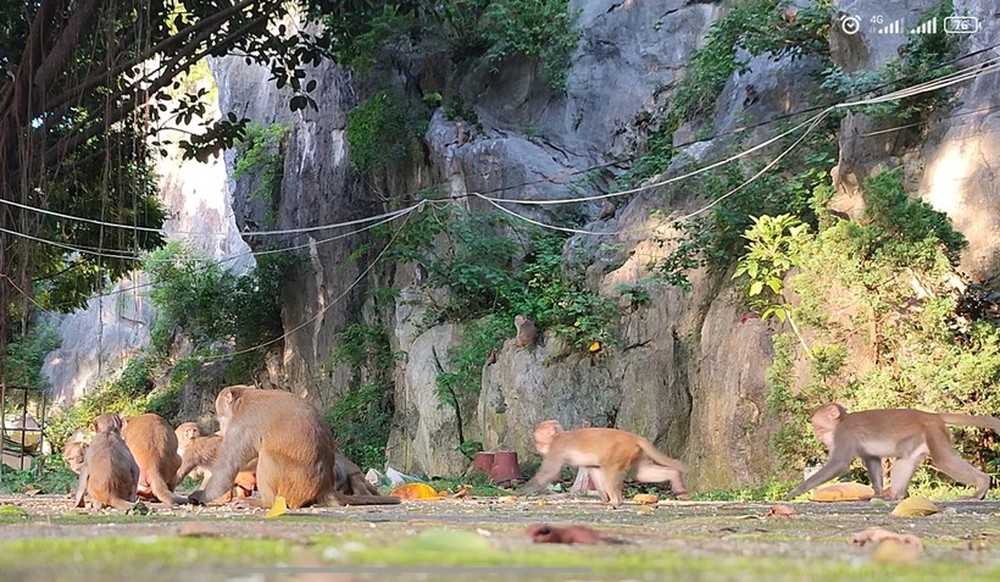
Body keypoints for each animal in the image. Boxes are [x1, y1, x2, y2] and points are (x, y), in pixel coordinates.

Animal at [189, 390, 400, 508]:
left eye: (221, 417)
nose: (221, 427)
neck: (246, 398)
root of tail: (326, 487)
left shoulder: (241, 426)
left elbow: (228, 468)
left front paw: (200, 496)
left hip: (294, 485)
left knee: (267, 456)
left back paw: (265, 503)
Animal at [516, 422, 688, 508]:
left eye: (538, 439)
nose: (538, 447)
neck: (558, 436)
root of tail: (634, 437)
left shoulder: (556, 448)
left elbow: (548, 473)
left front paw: (521, 492)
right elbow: (594, 471)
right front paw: (603, 498)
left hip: (620, 452)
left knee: (609, 472)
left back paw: (616, 501)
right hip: (636, 453)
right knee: (642, 474)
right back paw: (675, 478)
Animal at [788, 406, 1000, 502]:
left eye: (818, 426)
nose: (817, 435)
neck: (842, 422)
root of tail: (932, 415)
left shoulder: (844, 434)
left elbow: (838, 463)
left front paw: (795, 491)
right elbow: (872, 460)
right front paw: (878, 492)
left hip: (933, 431)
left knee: (944, 460)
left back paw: (981, 485)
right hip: (918, 440)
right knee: (904, 460)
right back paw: (894, 496)